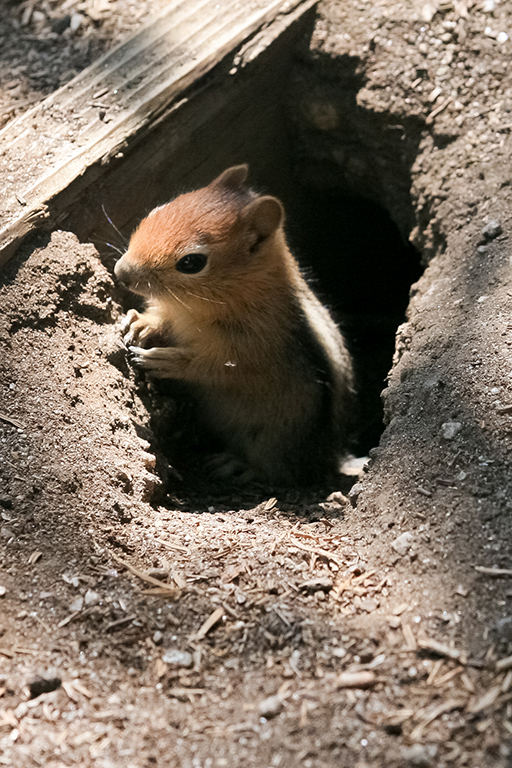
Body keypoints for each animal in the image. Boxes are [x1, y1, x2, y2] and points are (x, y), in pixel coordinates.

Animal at [115, 165, 356, 484]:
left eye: (191, 262)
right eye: (158, 210)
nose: (121, 272)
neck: (192, 309)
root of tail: (331, 458)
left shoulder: (252, 348)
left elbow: (215, 366)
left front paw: (165, 359)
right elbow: (159, 321)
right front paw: (139, 324)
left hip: (277, 437)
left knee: (279, 471)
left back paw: (239, 465)